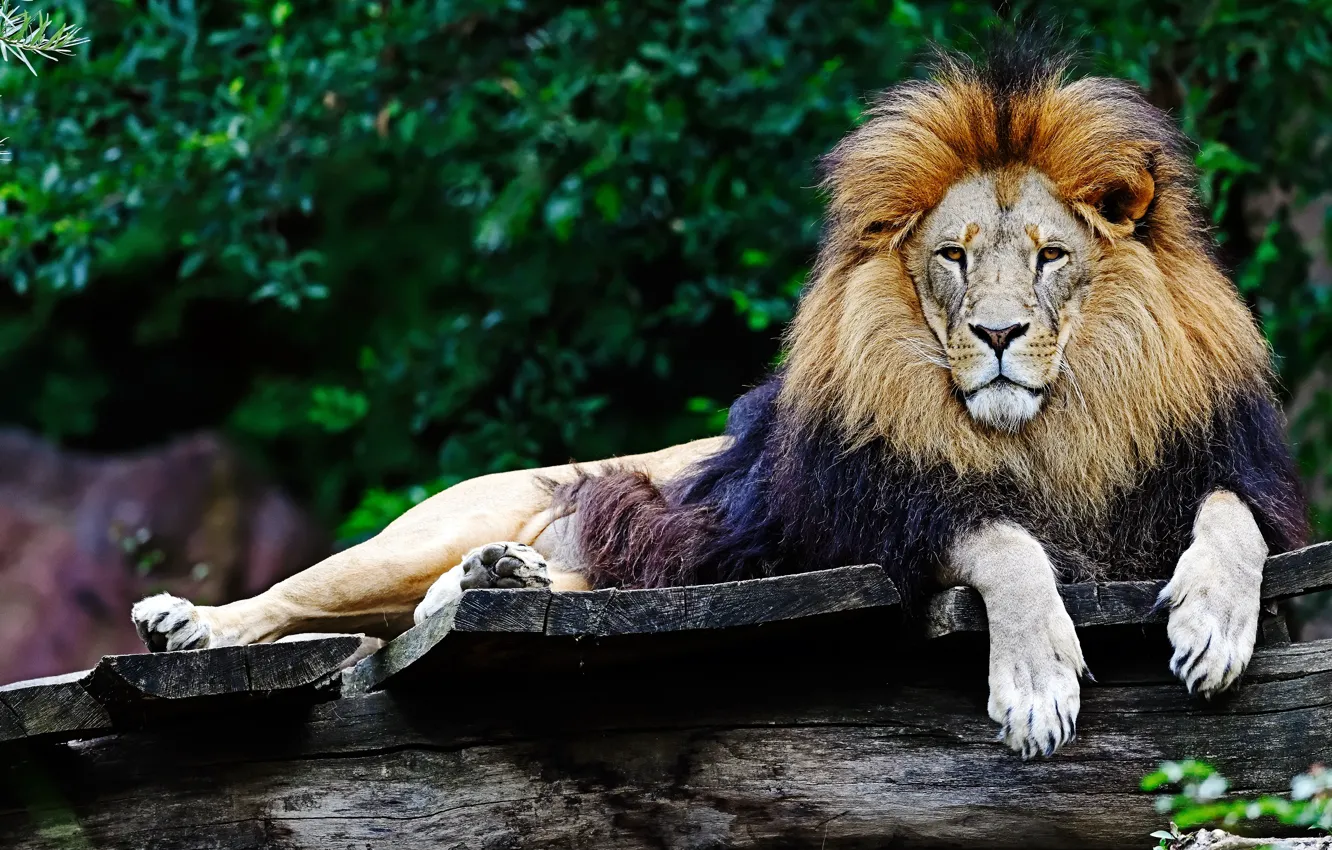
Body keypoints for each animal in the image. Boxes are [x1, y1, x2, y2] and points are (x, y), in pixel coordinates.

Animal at [131, 41, 1308, 758]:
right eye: (955, 258)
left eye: (1053, 257)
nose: (999, 336)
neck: (1052, 427)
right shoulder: (875, 518)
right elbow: (1007, 544)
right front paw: (1035, 683)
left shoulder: (1202, 472)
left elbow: (1235, 518)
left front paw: (1214, 624)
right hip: (432, 523)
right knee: (302, 596)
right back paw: (193, 619)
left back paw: (497, 580)